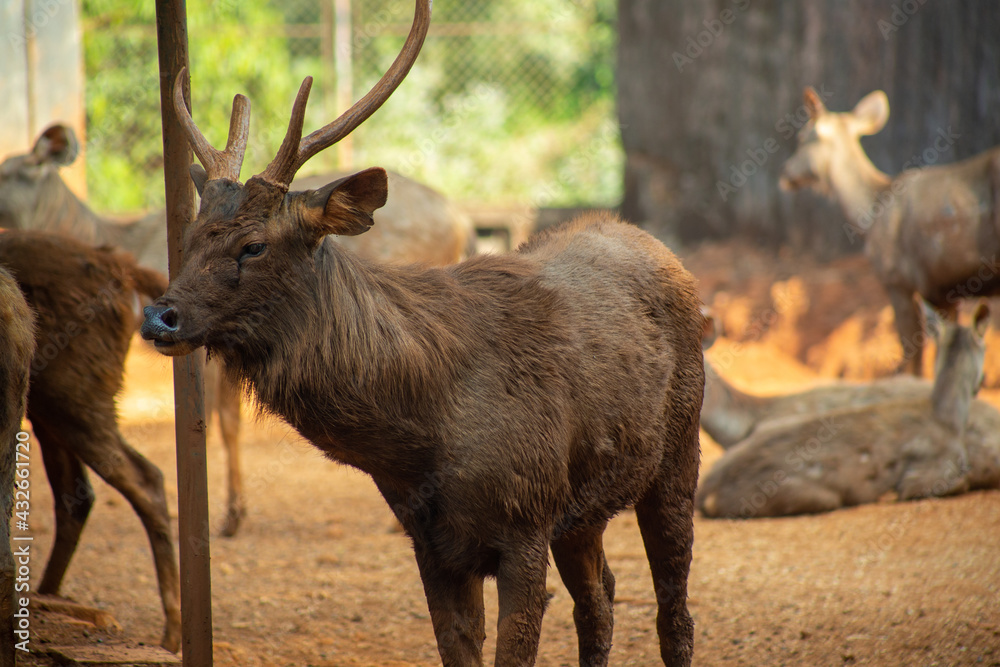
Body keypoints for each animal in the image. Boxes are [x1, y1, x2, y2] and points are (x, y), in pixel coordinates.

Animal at [0, 230, 180, 652]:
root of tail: (123, 270)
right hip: (51, 410)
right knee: (77, 496)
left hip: (74, 397)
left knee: (145, 479)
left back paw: (172, 633)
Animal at [1, 125, 475, 538]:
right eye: (188, 240)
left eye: (8, 170)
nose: (156, 317)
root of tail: (463, 220)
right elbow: (229, 418)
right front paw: (232, 512)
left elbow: (215, 419)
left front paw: (217, 515)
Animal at [140, 2, 706, 664]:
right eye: (189, 236)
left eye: (253, 245)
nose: (159, 316)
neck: (424, 436)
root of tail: (657, 246)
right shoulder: (430, 538)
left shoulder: (526, 516)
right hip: (584, 508)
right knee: (601, 598)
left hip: (678, 450)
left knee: (674, 610)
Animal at [779, 86, 1000, 376]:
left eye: (802, 137)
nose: (785, 172)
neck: (870, 215)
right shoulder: (943, 290)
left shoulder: (898, 279)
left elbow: (913, 356)